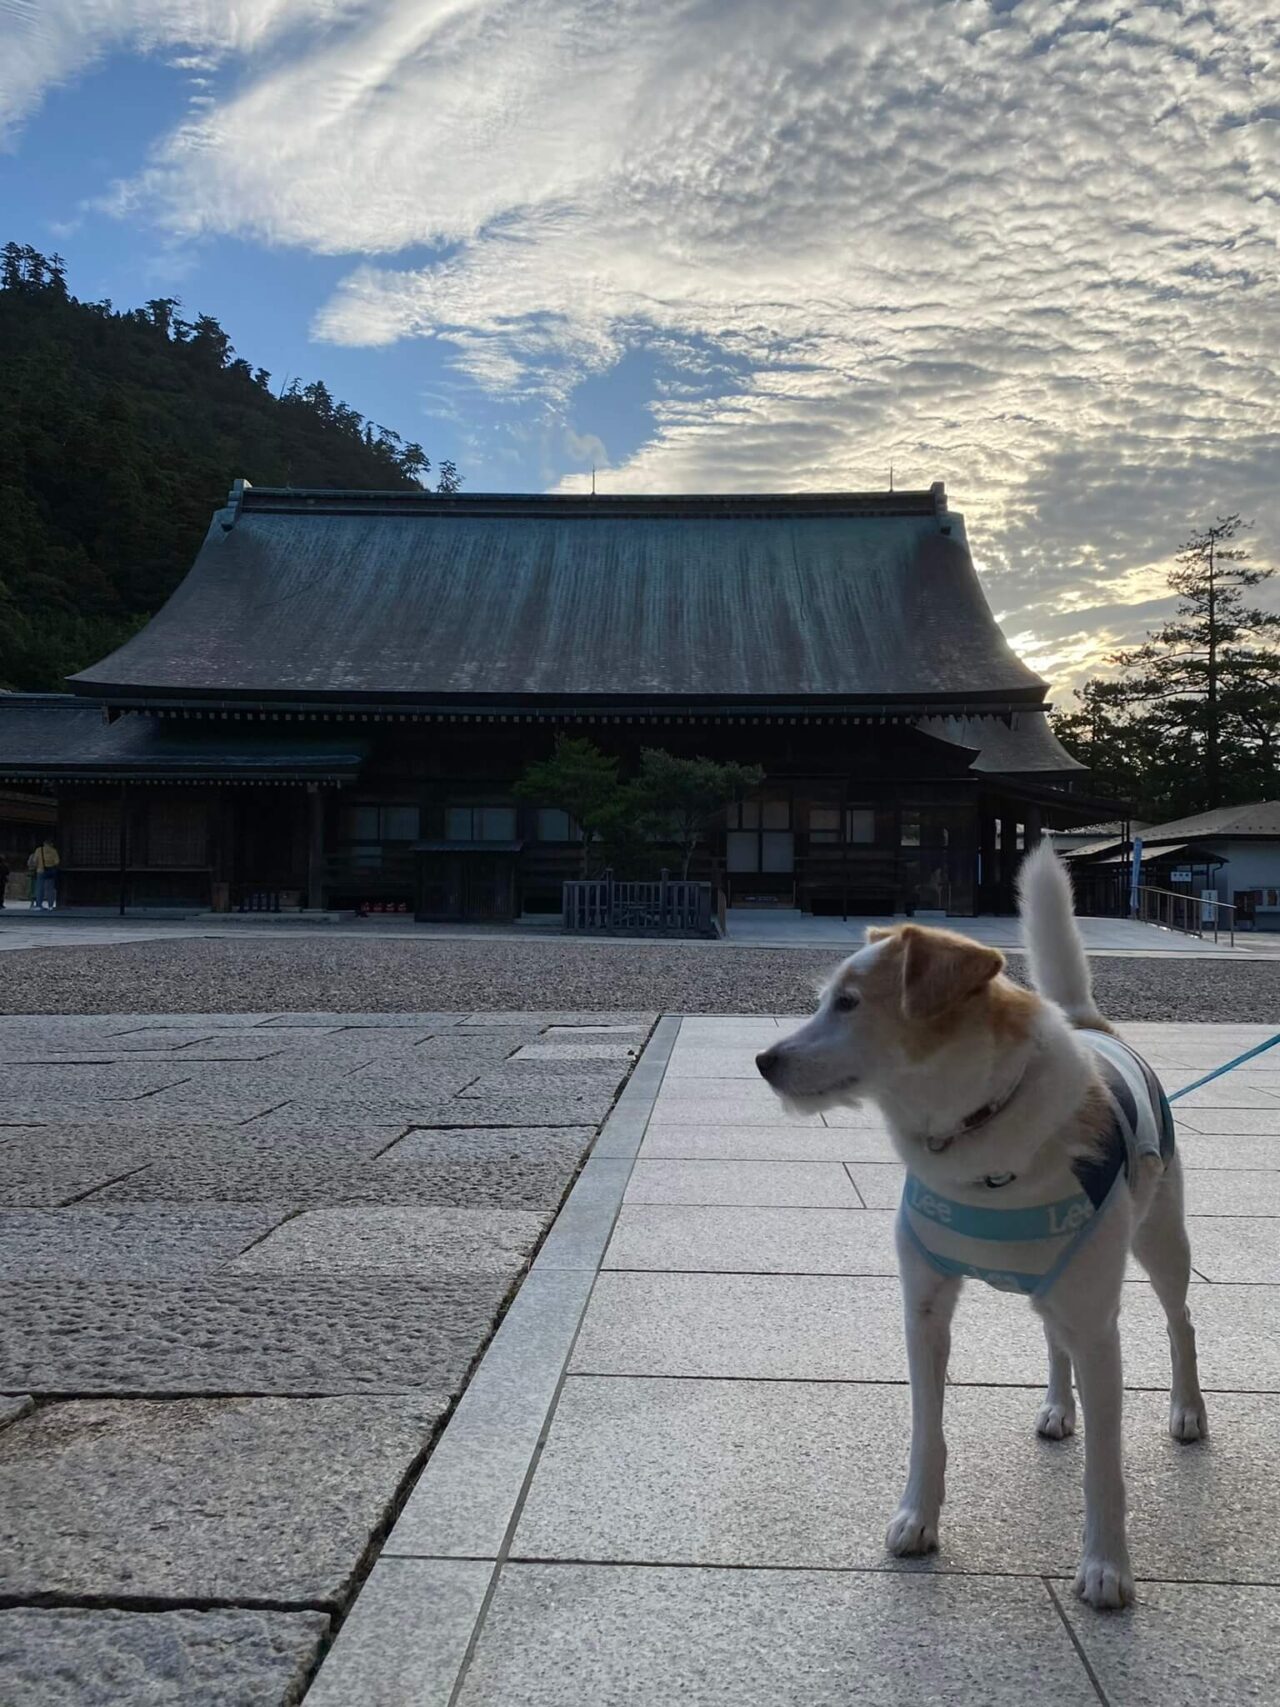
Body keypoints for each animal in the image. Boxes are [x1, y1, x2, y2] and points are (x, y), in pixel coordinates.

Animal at [757, 846, 1208, 1604]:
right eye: (824, 999)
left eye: (848, 1003)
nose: (764, 1061)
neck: (977, 1135)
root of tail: (1092, 1023)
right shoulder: (924, 1307)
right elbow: (927, 1429)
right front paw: (917, 1517)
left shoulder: (1099, 1325)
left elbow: (1105, 1468)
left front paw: (1106, 1566)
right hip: (1052, 1284)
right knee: (1054, 1339)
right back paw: (1058, 1408)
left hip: (1160, 1242)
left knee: (1180, 1322)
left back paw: (1188, 1411)